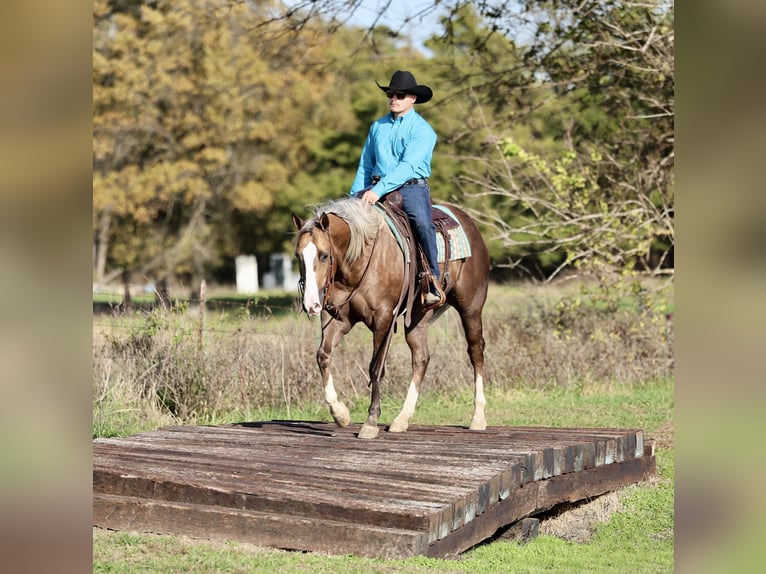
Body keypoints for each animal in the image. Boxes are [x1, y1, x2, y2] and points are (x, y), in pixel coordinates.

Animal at [291, 196, 490, 439]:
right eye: (298, 256)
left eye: (324, 255)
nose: (311, 304)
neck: (359, 260)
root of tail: (468, 221)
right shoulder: (337, 320)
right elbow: (323, 356)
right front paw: (340, 414)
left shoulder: (383, 319)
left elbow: (376, 368)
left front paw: (370, 422)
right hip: (419, 316)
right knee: (421, 358)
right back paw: (402, 419)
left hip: (471, 307)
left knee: (476, 352)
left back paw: (478, 417)